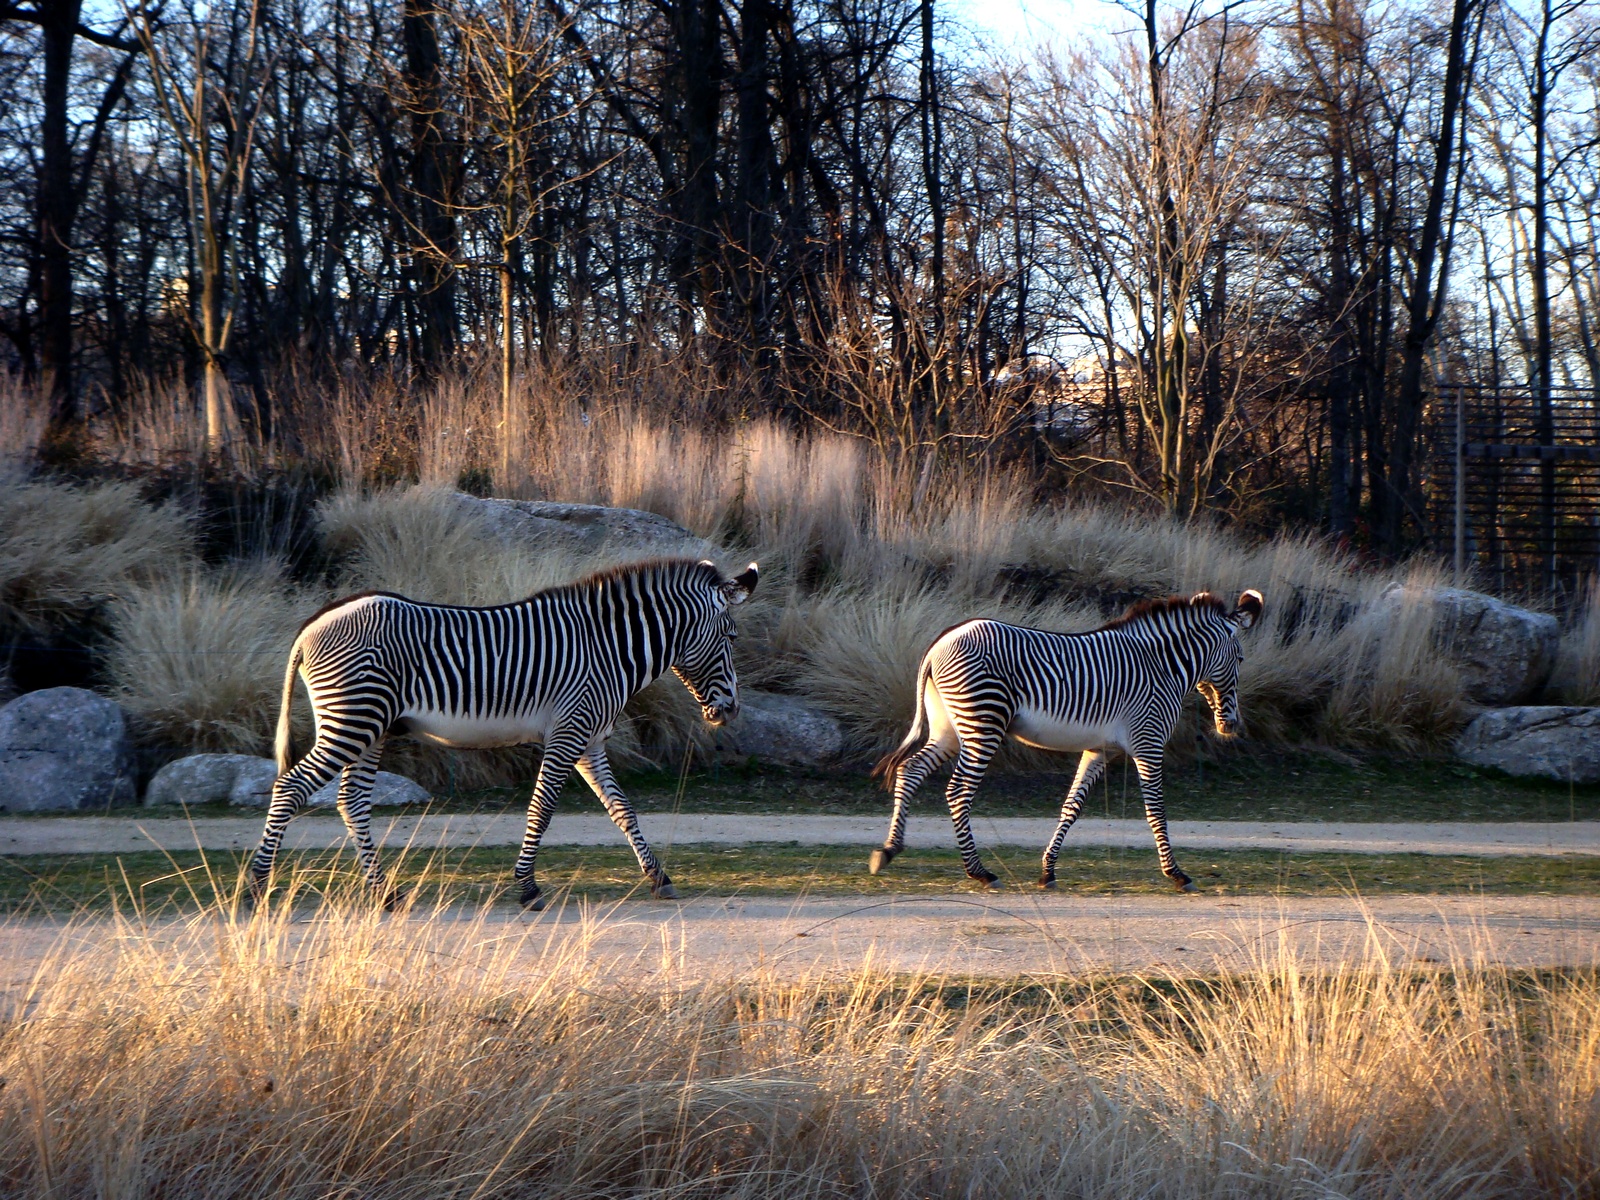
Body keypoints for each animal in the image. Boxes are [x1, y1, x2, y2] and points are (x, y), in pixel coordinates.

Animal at [251, 560, 761, 908]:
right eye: (732, 637)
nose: (730, 711)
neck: (608, 647)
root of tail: (311, 626)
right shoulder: (568, 731)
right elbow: (542, 808)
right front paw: (528, 886)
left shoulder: (591, 741)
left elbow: (622, 811)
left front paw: (659, 878)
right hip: (354, 718)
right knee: (290, 787)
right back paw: (259, 885)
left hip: (370, 727)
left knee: (350, 800)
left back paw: (384, 893)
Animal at [870, 592, 1254, 896]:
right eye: (1239, 659)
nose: (1231, 725)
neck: (1163, 667)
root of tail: (940, 643)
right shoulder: (1148, 740)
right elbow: (1156, 810)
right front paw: (1176, 874)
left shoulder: (1100, 749)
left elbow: (1072, 807)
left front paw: (1047, 870)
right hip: (983, 722)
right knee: (957, 791)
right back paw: (979, 872)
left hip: (948, 727)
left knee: (910, 769)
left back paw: (888, 850)